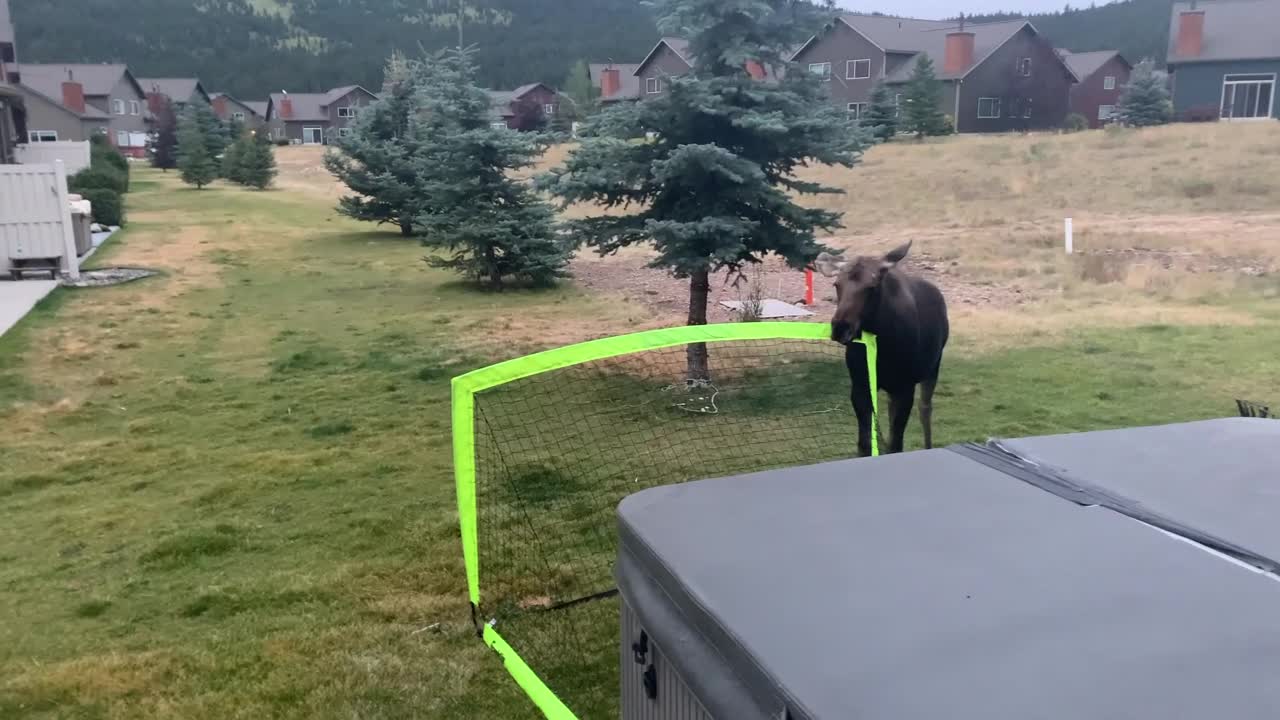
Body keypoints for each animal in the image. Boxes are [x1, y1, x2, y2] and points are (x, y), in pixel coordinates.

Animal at [814, 240, 947, 453]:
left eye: (872, 286)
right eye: (836, 285)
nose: (840, 328)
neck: (883, 347)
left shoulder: (905, 387)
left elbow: (896, 443)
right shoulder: (860, 385)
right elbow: (865, 443)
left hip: (933, 367)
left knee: (925, 409)